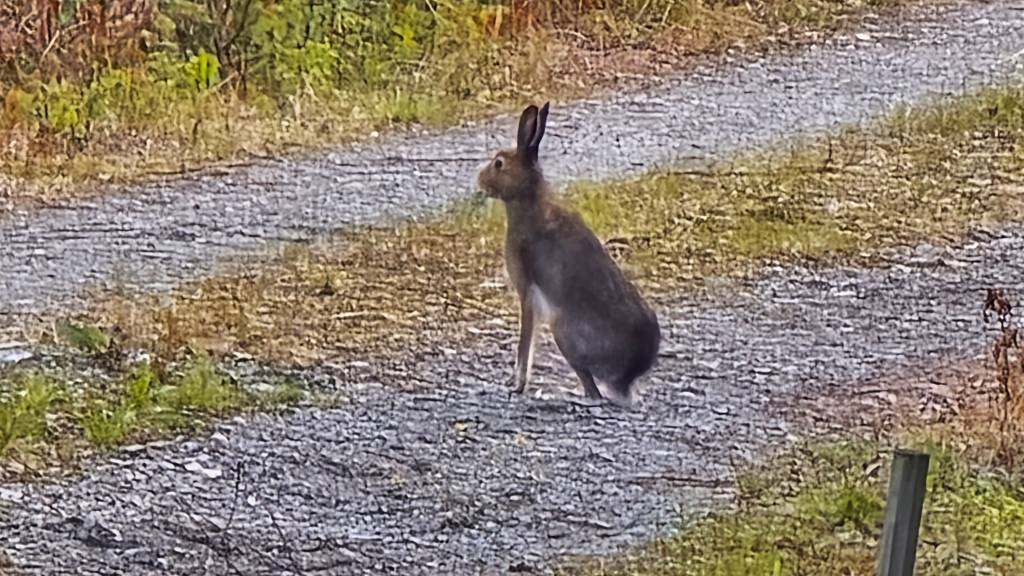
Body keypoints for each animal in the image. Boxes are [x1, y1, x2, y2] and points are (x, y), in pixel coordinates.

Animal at [476, 102, 661, 404]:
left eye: (499, 164)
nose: (480, 180)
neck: (527, 199)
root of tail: (628, 375)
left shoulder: (527, 291)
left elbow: (525, 342)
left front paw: (516, 385)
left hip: (562, 332)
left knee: (592, 390)